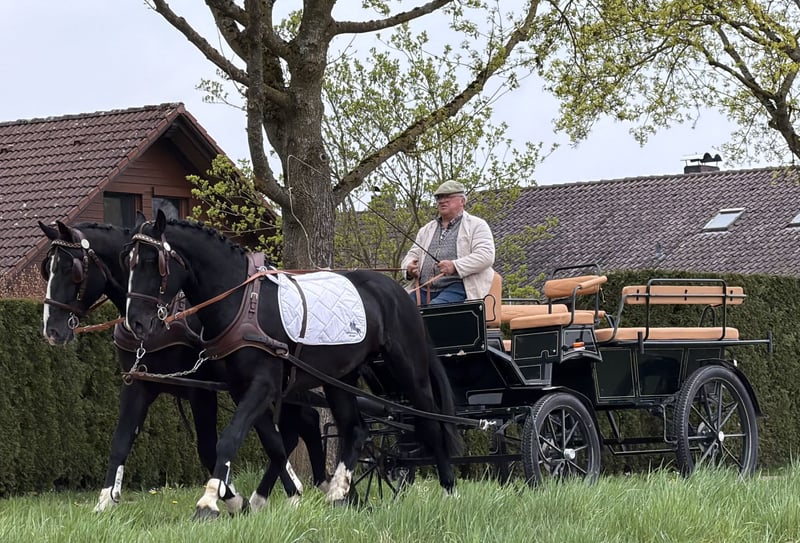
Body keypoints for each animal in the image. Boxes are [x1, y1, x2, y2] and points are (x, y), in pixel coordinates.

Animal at [39, 219, 328, 513]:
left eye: (71, 269)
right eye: (47, 269)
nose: (51, 330)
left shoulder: (201, 390)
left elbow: (208, 448)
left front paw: (231, 498)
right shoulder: (138, 384)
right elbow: (120, 441)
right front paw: (106, 501)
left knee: (298, 426)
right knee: (301, 424)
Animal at [123, 210, 461, 518]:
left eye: (152, 261)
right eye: (129, 260)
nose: (136, 322)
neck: (244, 303)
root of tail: (397, 291)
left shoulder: (263, 384)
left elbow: (231, 438)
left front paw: (208, 502)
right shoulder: (241, 387)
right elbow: (272, 443)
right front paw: (277, 496)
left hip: (409, 369)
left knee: (431, 423)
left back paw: (449, 490)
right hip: (339, 378)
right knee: (356, 430)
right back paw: (338, 493)